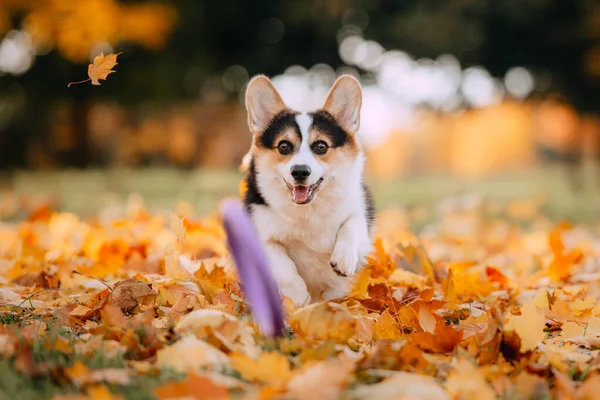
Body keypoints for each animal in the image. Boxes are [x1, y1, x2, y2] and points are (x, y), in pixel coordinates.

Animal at [241, 74, 372, 306]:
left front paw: (343, 258)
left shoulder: (359, 215)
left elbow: (351, 226)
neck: (307, 211)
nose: (300, 172)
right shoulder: (260, 236)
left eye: (321, 146)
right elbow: (284, 268)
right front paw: (299, 298)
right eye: (284, 146)